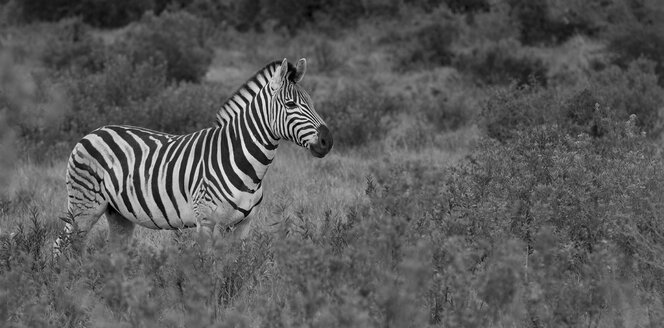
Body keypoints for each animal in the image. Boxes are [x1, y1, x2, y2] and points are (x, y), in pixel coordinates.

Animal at [53, 58, 332, 251]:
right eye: (291, 104)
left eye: (312, 102)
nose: (328, 141)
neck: (246, 163)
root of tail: (93, 131)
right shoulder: (205, 220)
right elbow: (205, 268)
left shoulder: (243, 224)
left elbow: (236, 267)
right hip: (84, 206)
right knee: (64, 245)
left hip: (118, 213)